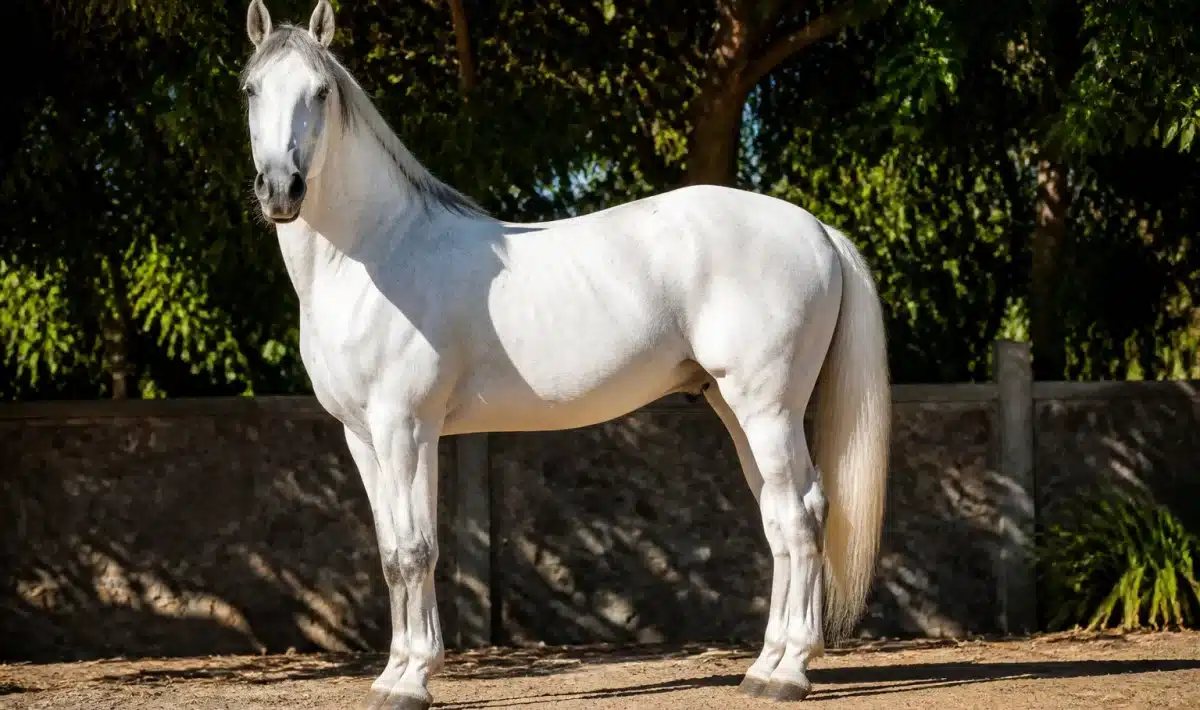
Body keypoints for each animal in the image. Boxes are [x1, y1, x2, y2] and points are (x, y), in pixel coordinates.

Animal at [238, 1, 890, 707]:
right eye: (250, 90)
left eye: (320, 92)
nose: (281, 190)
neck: (375, 253)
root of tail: (816, 229)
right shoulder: (362, 436)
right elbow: (390, 554)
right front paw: (391, 676)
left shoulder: (406, 429)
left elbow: (416, 549)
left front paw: (412, 679)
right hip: (735, 408)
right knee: (780, 520)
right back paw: (765, 666)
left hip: (769, 409)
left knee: (801, 517)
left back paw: (791, 672)